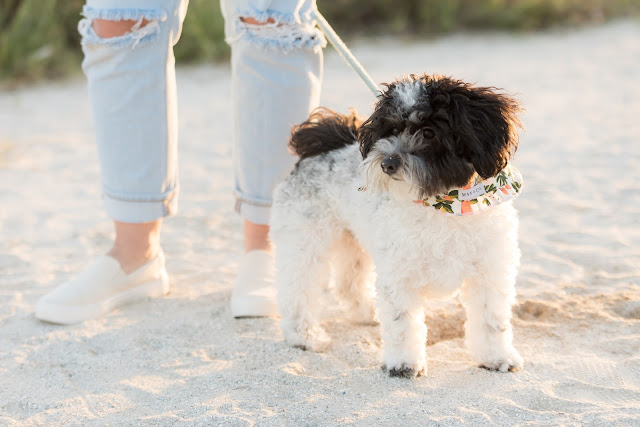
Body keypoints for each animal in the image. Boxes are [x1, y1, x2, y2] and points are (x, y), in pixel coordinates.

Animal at [270, 73, 524, 378]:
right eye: (390, 130)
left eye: (428, 132)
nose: (388, 163)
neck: (445, 206)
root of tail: (323, 142)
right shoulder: (399, 276)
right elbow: (402, 323)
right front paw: (404, 363)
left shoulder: (490, 273)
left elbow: (491, 321)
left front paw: (497, 357)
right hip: (305, 242)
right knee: (298, 289)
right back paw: (303, 335)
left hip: (353, 242)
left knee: (348, 284)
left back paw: (366, 314)